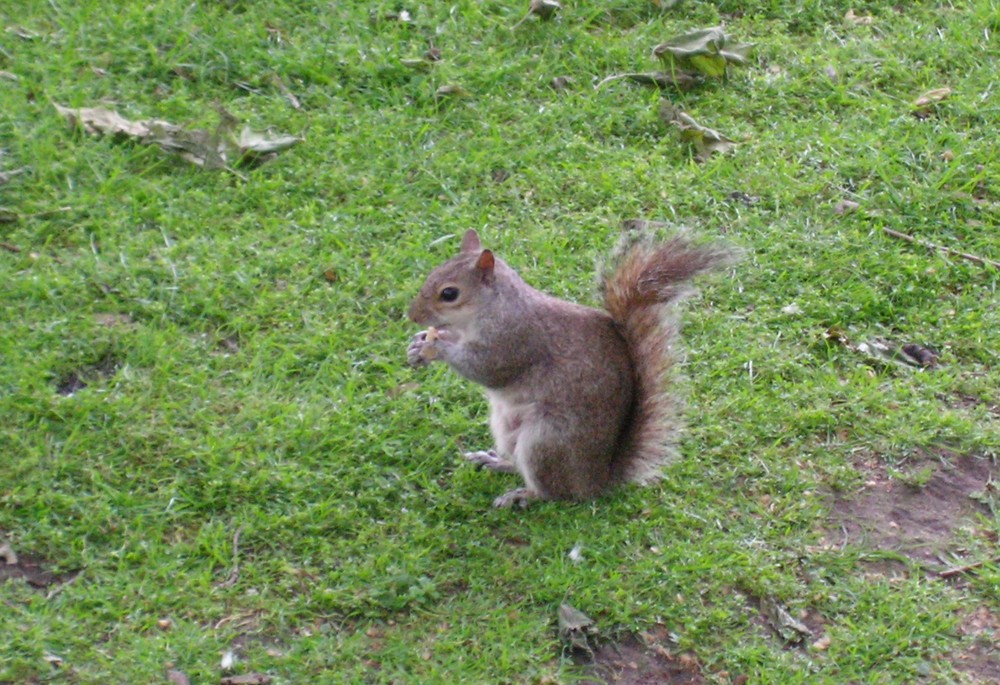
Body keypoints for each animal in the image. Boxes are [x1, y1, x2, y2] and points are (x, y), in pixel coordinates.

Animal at [404, 230, 728, 508]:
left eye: (449, 293)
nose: (412, 315)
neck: (489, 309)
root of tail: (596, 480)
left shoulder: (513, 340)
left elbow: (486, 369)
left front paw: (436, 348)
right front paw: (420, 343)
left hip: (546, 440)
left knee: (554, 492)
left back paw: (522, 495)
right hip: (505, 428)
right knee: (519, 463)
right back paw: (496, 461)